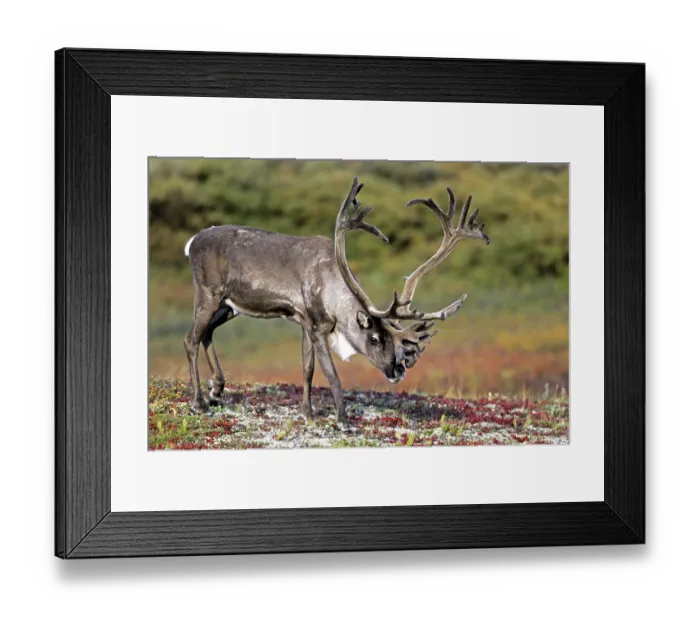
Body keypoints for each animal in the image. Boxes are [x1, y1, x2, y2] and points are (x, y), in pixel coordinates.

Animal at [183, 177, 490, 423]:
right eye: (375, 339)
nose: (397, 370)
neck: (332, 286)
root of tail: (193, 240)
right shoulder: (318, 326)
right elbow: (331, 374)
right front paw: (342, 419)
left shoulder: (305, 323)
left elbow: (307, 369)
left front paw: (307, 413)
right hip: (208, 294)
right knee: (190, 339)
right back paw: (199, 402)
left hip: (229, 306)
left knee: (206, 333)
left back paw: (216, 390)